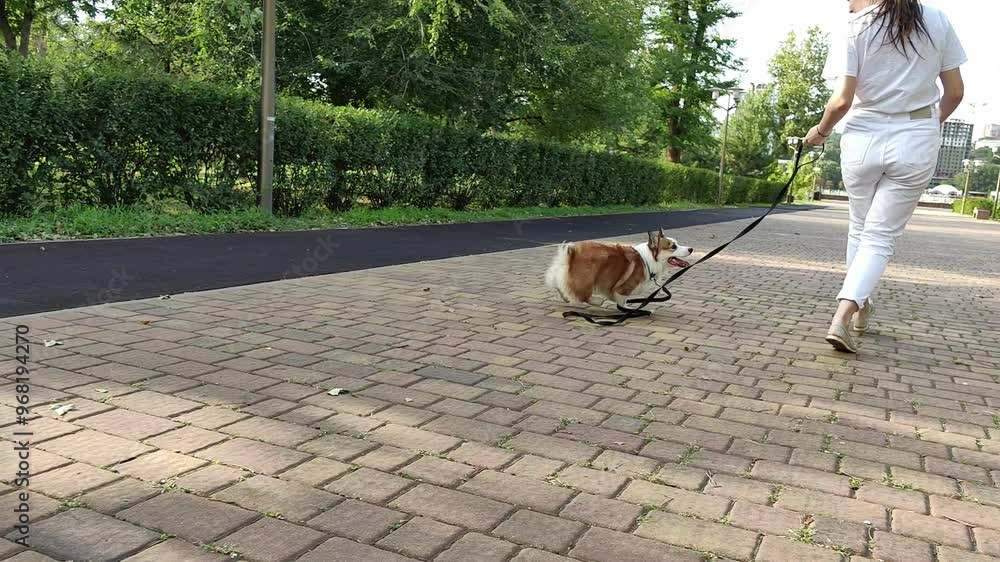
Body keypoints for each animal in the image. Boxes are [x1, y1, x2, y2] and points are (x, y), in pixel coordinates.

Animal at [545, 229, 694, 308]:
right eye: (673, 246)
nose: (691, 249)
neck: (649, 259)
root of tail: (571, 255)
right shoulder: (623, 288)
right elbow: (622, 301)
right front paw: (627, 310)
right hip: (588, 278)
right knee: (582, 295)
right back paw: (597, 301)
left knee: (563, 288)